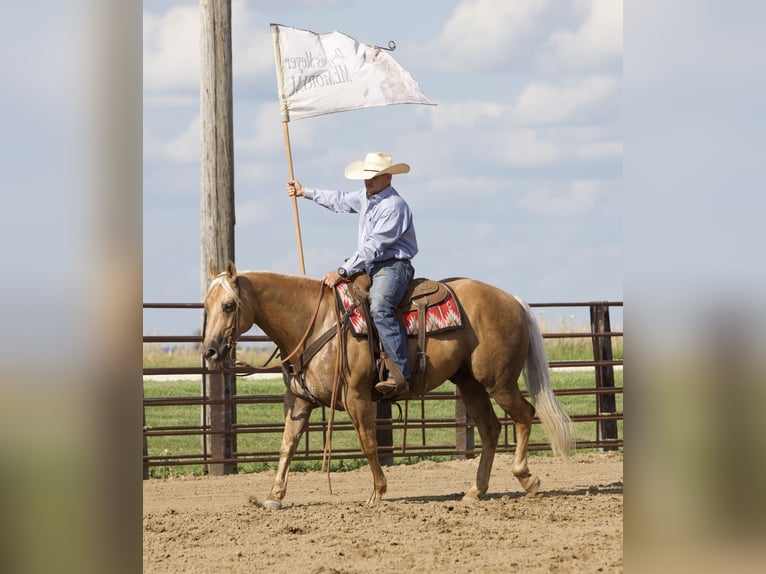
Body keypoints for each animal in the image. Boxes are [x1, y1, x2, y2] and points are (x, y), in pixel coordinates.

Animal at [204, 260, 576, 508]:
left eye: (229, 305)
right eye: (207, 306)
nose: (210, 351)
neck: (316, 321)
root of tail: (513, 300)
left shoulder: (356, 397)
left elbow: (369, 443)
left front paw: (378, 492)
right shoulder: (299, 401)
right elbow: (287, 446)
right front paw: (273, 497)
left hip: (498, 380)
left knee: (524, 415)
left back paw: (526, 478)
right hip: (469, 383)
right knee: (490, 429)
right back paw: (475, 491)